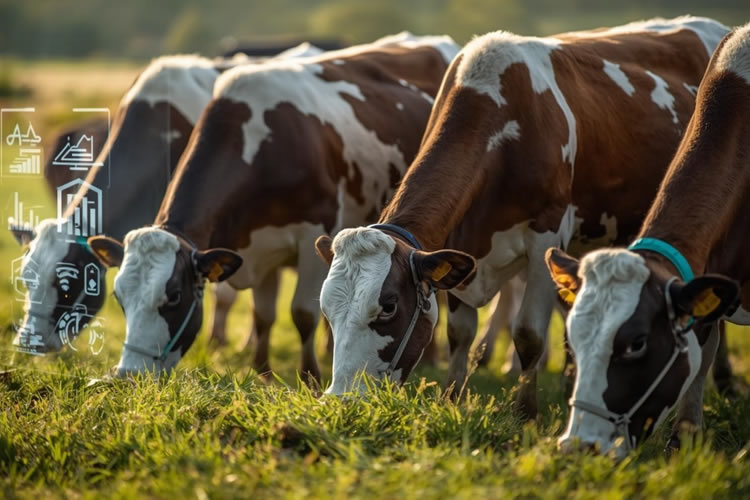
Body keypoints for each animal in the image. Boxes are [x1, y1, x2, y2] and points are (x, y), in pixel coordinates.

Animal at [85, 33, 460, 382]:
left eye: (174, 297)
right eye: (119, 298)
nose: (129, 373)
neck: (261, 144)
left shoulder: (314, 235)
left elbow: (303, 313)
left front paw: (310, 377)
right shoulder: (262, 247)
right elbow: (263, 315)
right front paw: (262, 372)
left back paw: (431, 358)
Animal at [313, 17, 729, 412]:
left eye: (388, 307)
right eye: (327, 309)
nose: (342, 398)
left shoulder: (547, 234)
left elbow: (528, 334)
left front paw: (526, 412)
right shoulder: (463, 245)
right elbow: (460, 334)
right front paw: (451, 398)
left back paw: (725, 383)